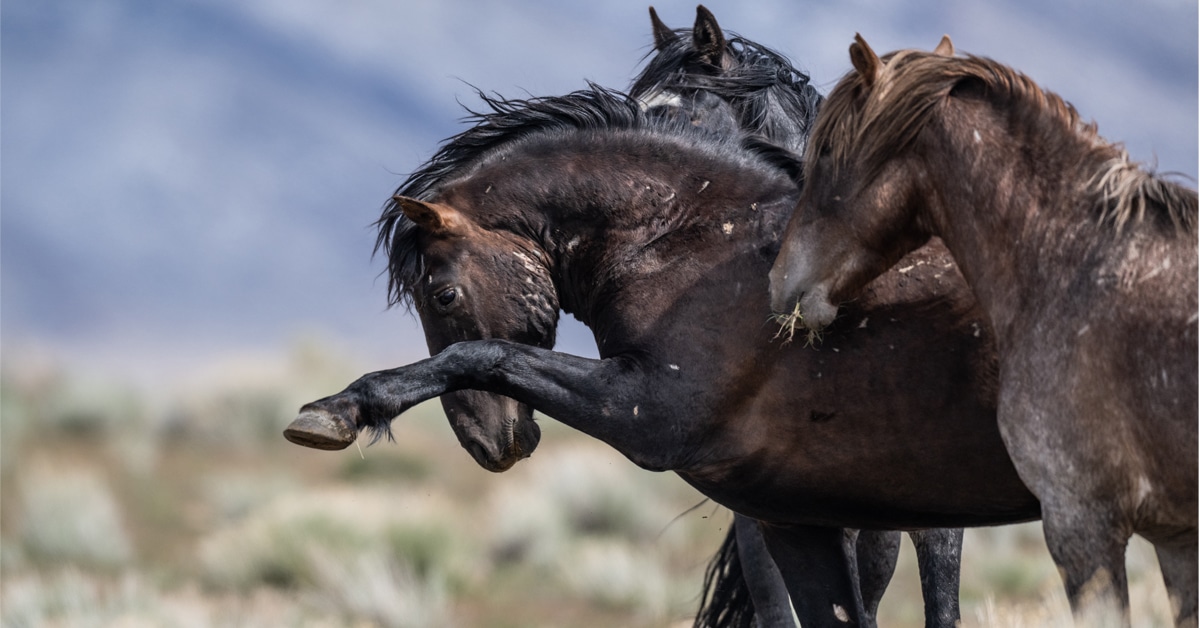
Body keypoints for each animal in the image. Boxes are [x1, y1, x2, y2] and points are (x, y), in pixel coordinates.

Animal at [283, 85, 1041, 627]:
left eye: (441, 294)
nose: (486, 443)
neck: (700, 245)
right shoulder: (796, 521)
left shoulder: (648, 414)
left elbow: (486, 353)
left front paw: (337, 409)